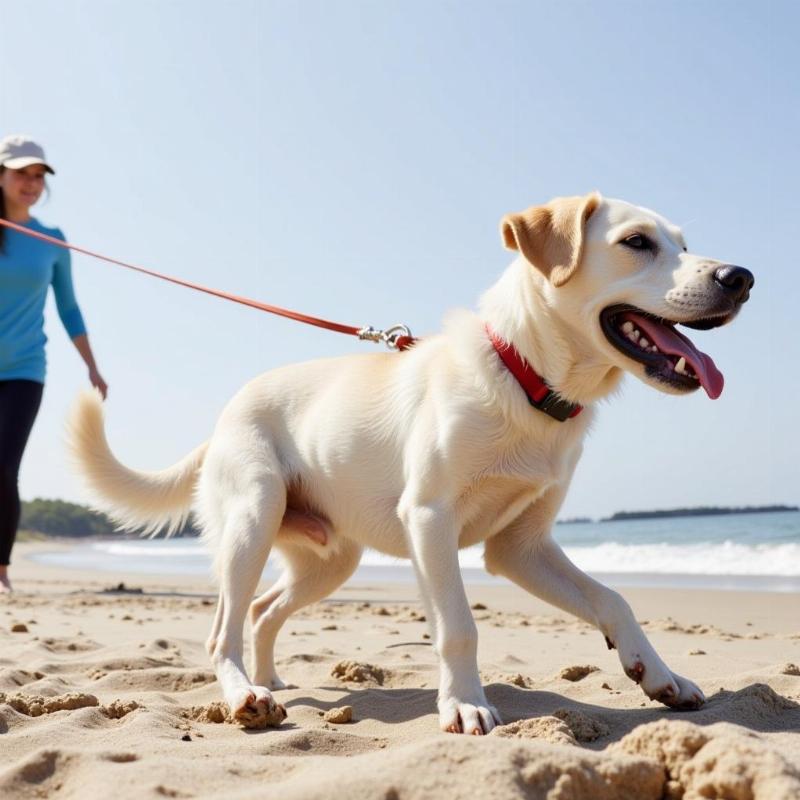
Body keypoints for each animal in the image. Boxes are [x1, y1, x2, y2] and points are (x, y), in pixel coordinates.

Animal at [67, 194, 752, 732]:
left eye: (684, 244)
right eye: (636, 242)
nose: (741, 276)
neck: (521, 376)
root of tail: (221, 420)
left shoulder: (522, 546)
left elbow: (614, 599)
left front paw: (658, 675)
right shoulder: (430, 519)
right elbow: (459, 626)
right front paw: (466, 706)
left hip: (330, 559)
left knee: (261, 612)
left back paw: (273, 681)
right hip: (253, 518)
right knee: (223, 629)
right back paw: (244, 695)